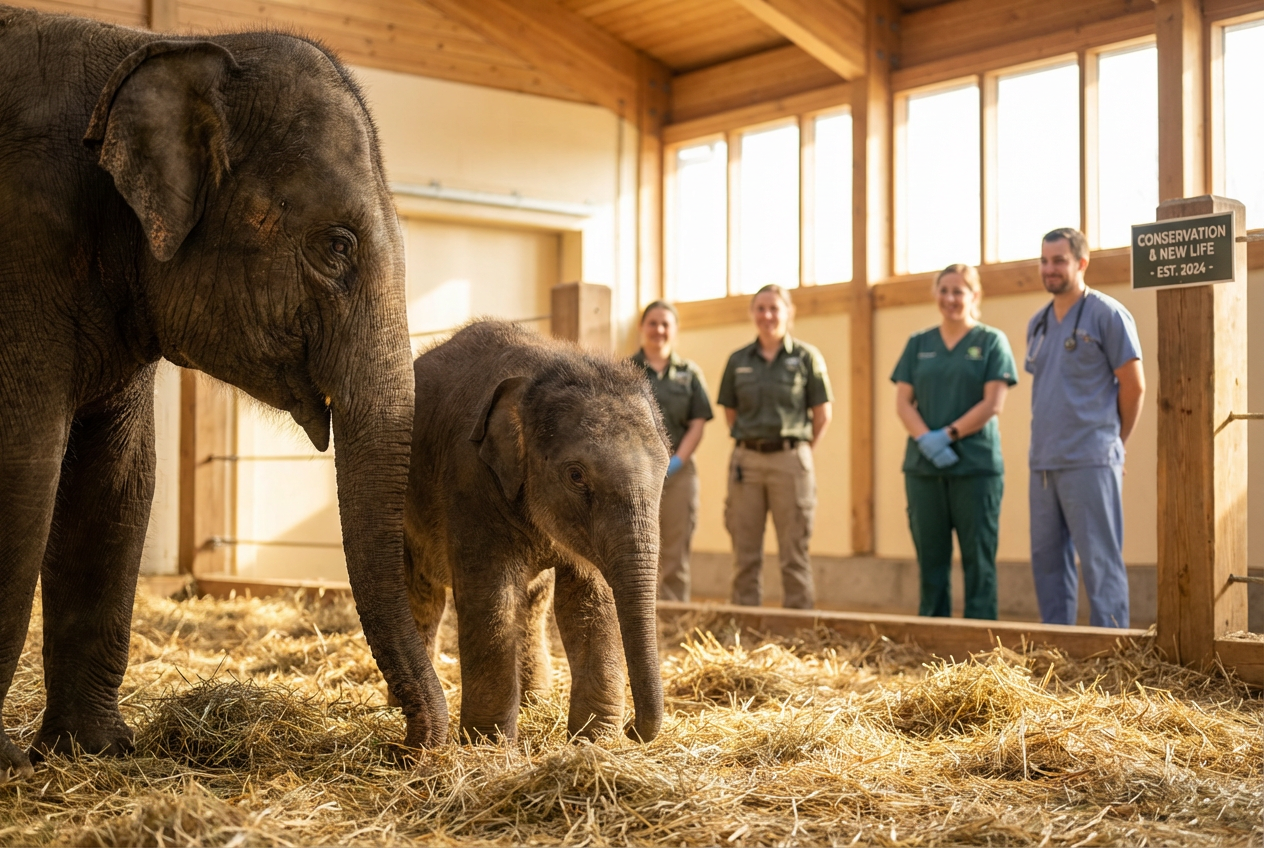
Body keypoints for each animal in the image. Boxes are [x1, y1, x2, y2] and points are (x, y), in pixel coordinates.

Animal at [0, 5, 448, 779]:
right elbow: (23, 471)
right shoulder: (23, 243)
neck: (149, 49)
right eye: (337, 245)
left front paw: (96, 753)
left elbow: (118, 481)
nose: (411, 747)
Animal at [403, 321, 669, 744]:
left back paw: (535, 701)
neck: (544, 370)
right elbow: (491, 598)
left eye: (665, 471)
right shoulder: (469, 479)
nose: (632, 730)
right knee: (424, 596)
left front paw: (594, 742)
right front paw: (490, 745)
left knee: (533, 601)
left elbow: (590, 602)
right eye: (575, 475)